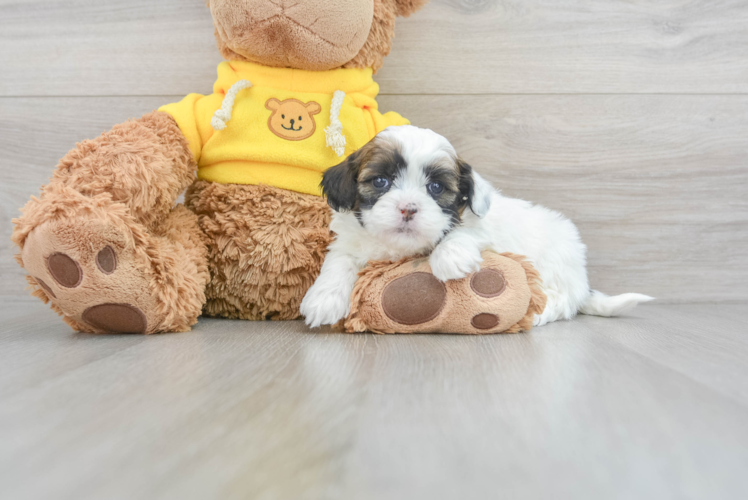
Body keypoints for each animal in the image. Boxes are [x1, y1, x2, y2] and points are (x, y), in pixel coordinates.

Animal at [300, 125, 652, 328]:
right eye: (380, 181)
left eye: (436, 188)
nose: (408, 208)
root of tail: (582, 277)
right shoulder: (349, 241)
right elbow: (339, 261)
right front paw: (323, 300)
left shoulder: (483, 228)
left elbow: (463, 231)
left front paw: (450, 257)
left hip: (555, 264)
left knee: (563, 300)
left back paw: (538, 313)